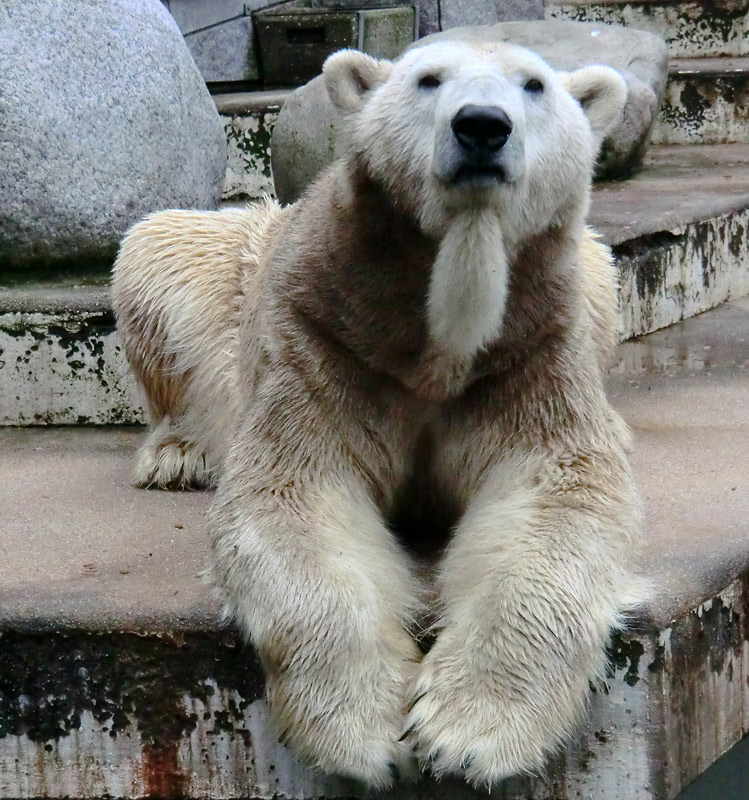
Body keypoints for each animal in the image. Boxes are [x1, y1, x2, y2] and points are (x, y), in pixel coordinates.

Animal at [114, 42, 644, 788]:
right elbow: (298, 493)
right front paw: (367, 731)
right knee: (158, 246)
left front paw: (467, 734)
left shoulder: (530, 348)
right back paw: (179, 453)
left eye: (534, 85)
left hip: (591, 276)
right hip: (230, 267)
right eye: (428, 79)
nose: (482, 125)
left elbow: (561, 492)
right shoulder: (325, 340)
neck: (440, 338)